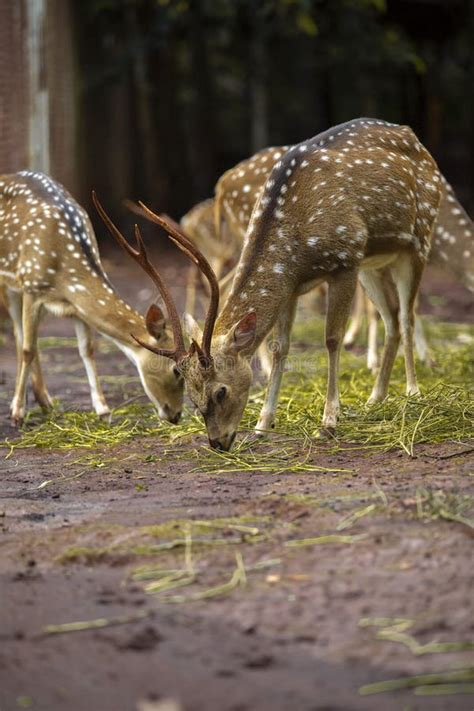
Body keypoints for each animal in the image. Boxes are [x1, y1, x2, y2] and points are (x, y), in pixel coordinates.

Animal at [0, 172, 184, 426]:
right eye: (176, 370)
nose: (176, 415)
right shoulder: (31, 286)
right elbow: (28, 348)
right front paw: (16, 413)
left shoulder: (76, 308)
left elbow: (87, 349)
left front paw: (103, 409)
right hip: (9, 283)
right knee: (22, 337)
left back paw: (45, 401)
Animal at [98, 117, 442, 450]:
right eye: (191, 395)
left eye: (220, 391)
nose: (217, 442)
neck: (296, 245)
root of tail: (417, 141)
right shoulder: (292, 285)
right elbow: (280, 347)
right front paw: (263, 424)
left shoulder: (346, 260)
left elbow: (331, 339)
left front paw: (329, 421)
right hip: (373, 262)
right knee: (392, 318)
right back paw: (375, 398)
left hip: (418, 239)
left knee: (407, 315)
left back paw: (413, 391)